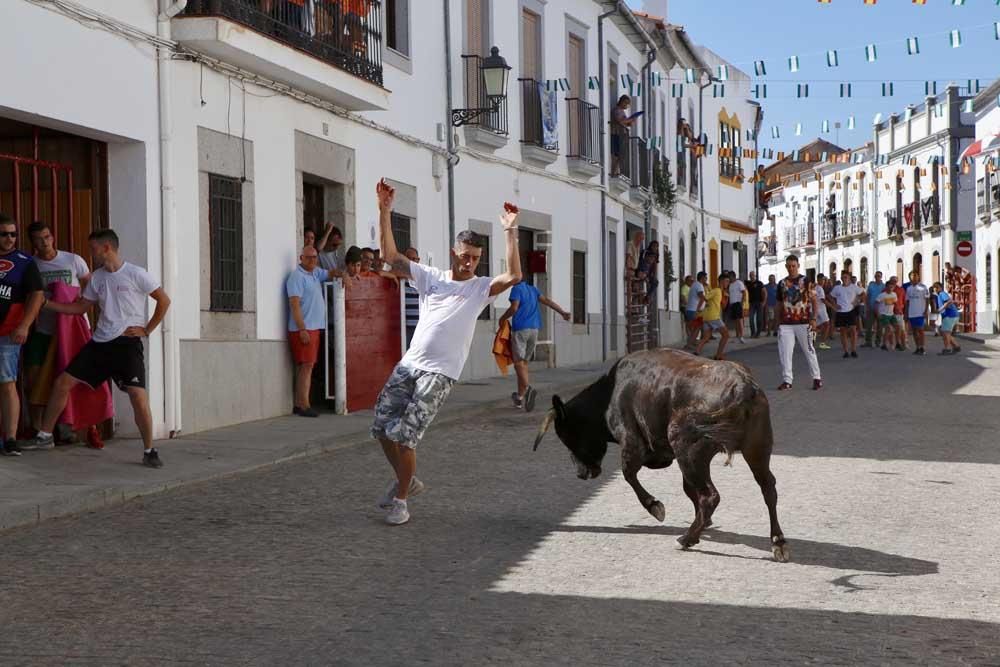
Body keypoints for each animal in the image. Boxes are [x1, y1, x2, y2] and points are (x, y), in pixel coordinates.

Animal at [532, 350, 788, 564]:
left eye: (568, 436)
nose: (581, 473)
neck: (609, 394)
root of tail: (743, 387)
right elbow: (687, 490)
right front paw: (705, 523)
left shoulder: (632, 442)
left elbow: (629, 474)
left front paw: (656, 507)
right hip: (756, 450)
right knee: (768, 488)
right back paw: (778, 542)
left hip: (688, 449)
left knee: (711, 495)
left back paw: (686, 539)